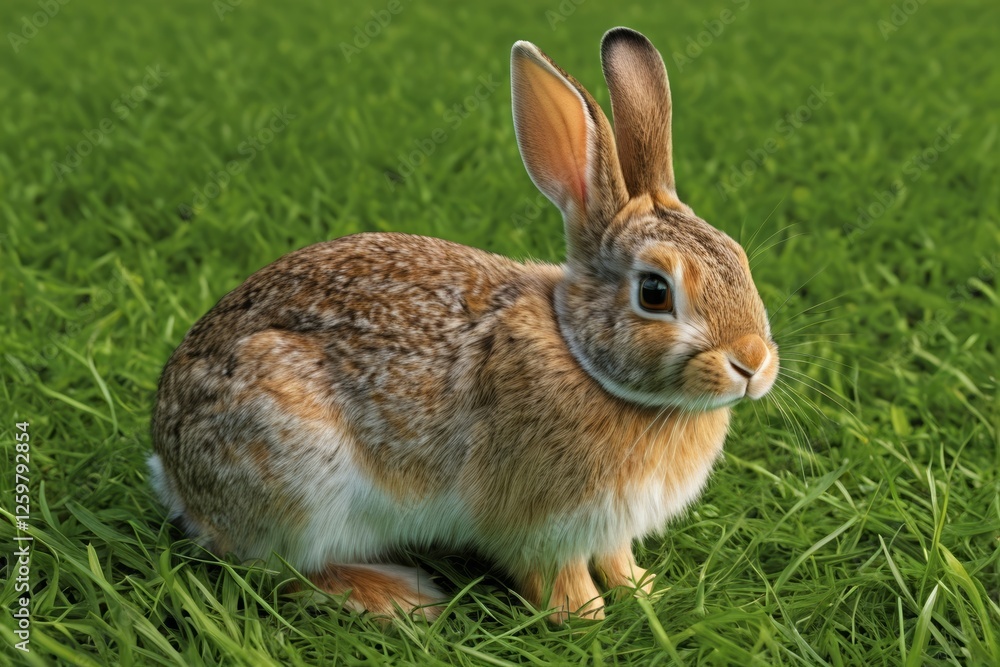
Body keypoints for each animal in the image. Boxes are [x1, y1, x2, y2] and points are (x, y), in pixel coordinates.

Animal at [149, 26, 779, 624]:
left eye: (740, 260)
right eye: (654, 292)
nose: (753, 363)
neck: (580, 354)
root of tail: (173, 473)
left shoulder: (608, 528)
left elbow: (617, 559)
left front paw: (646, 592)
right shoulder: (539, 524)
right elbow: (555, 576)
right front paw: (585, 618)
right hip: (299, 482)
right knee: (276, 567)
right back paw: (399, 597)